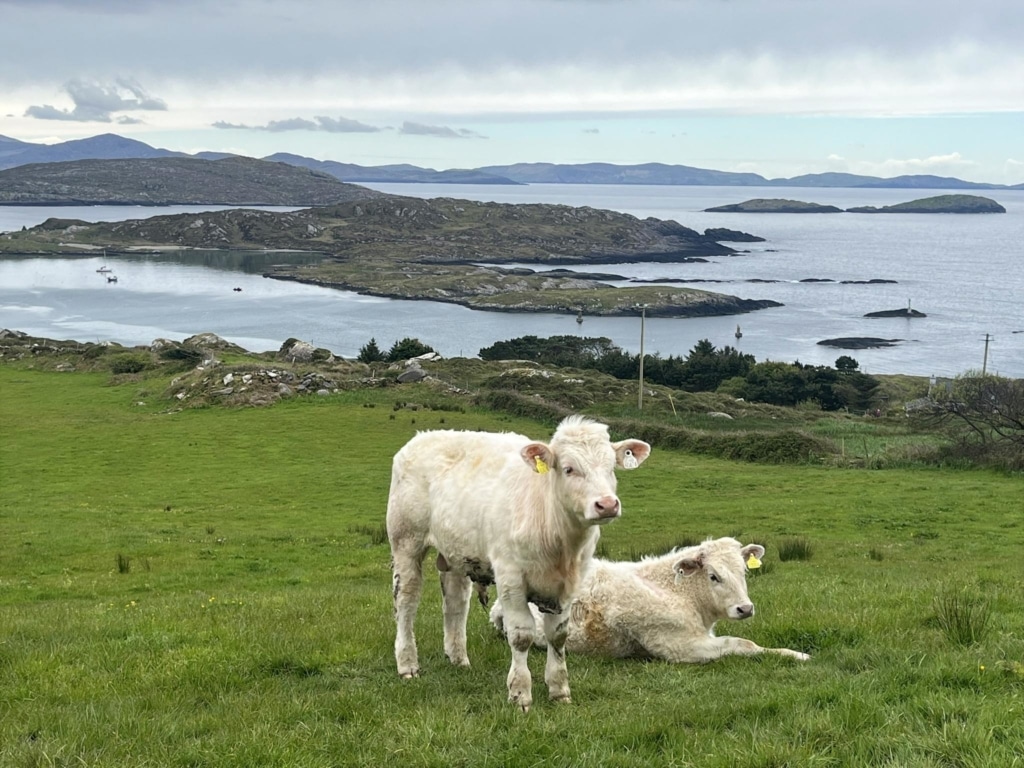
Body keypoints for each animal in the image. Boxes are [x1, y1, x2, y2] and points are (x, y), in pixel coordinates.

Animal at [386, 415, 651, 711]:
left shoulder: (570, 583)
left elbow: (558, 635)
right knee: (406, 601)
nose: (607, 504)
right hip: (406, 542)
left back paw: (458, 658)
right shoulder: (510, 577)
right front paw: (520, 693)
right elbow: (521, 636)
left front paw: (559, 690)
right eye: (569, 469)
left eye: (611, 467)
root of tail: (423, 436)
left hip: (455, 552)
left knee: (455, 602)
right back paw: (407, 664)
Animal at [490, 537, 810, 663]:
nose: (745, 608)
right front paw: (796, 655)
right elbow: (742, 643)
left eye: (744, 571)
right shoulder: (681, 646)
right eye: (713, 576)